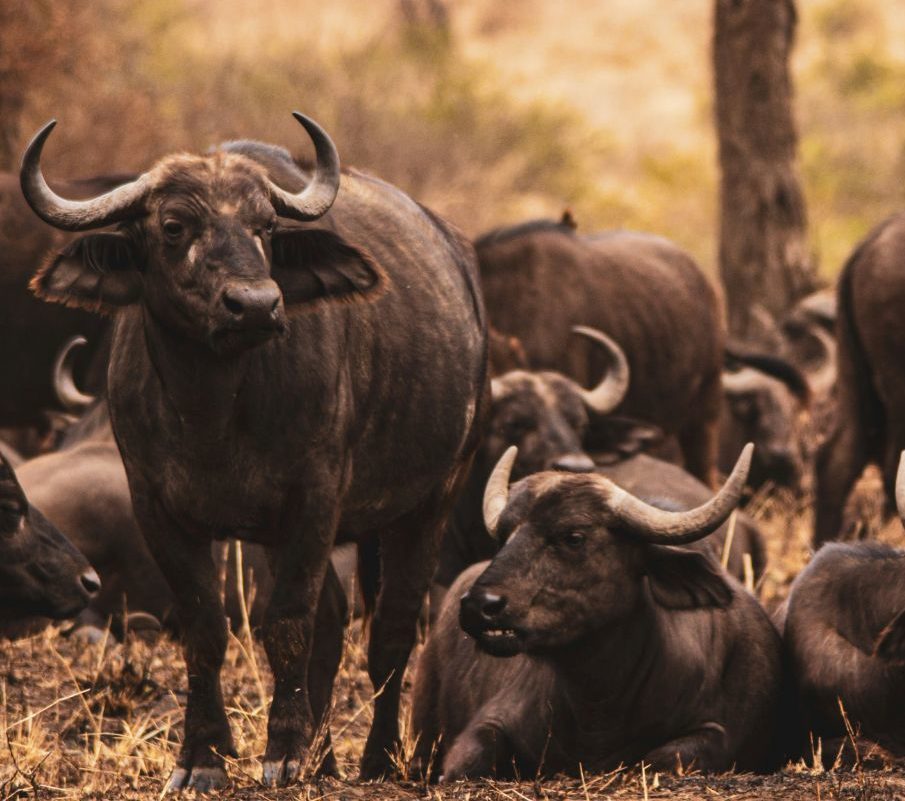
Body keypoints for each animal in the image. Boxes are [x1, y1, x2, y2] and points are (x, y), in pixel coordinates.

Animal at [20, 113, 487, 789]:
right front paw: (203, 756)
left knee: (392, 629)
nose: (258, 305)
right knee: (335, 623)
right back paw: (324, 758)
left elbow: (287, 625)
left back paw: (376, 759)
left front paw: (284, 752)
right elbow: (206, 627)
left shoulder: (314, 500)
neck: (213, 410)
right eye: (173, 226)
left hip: (432, 499)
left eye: (265, 227)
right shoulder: (157, 508)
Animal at [411, 444, 784, 779]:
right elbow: (468, 761)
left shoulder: (716, 733)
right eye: (505, 535)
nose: (479, 606)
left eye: (573, 536)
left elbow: (661, 758)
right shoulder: (490, 722)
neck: (599, 703)